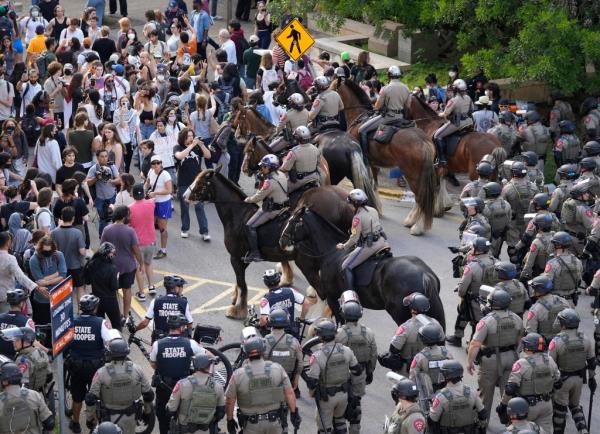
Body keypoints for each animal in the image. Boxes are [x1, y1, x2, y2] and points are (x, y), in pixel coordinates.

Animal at [332, 78, 436, 234]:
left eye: (332, 87)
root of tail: (423, 140)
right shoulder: (374, 163)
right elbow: (374, 185)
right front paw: (377, 208)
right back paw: (412, 221)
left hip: (412, 174)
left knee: (420, 197)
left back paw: (416, 226)